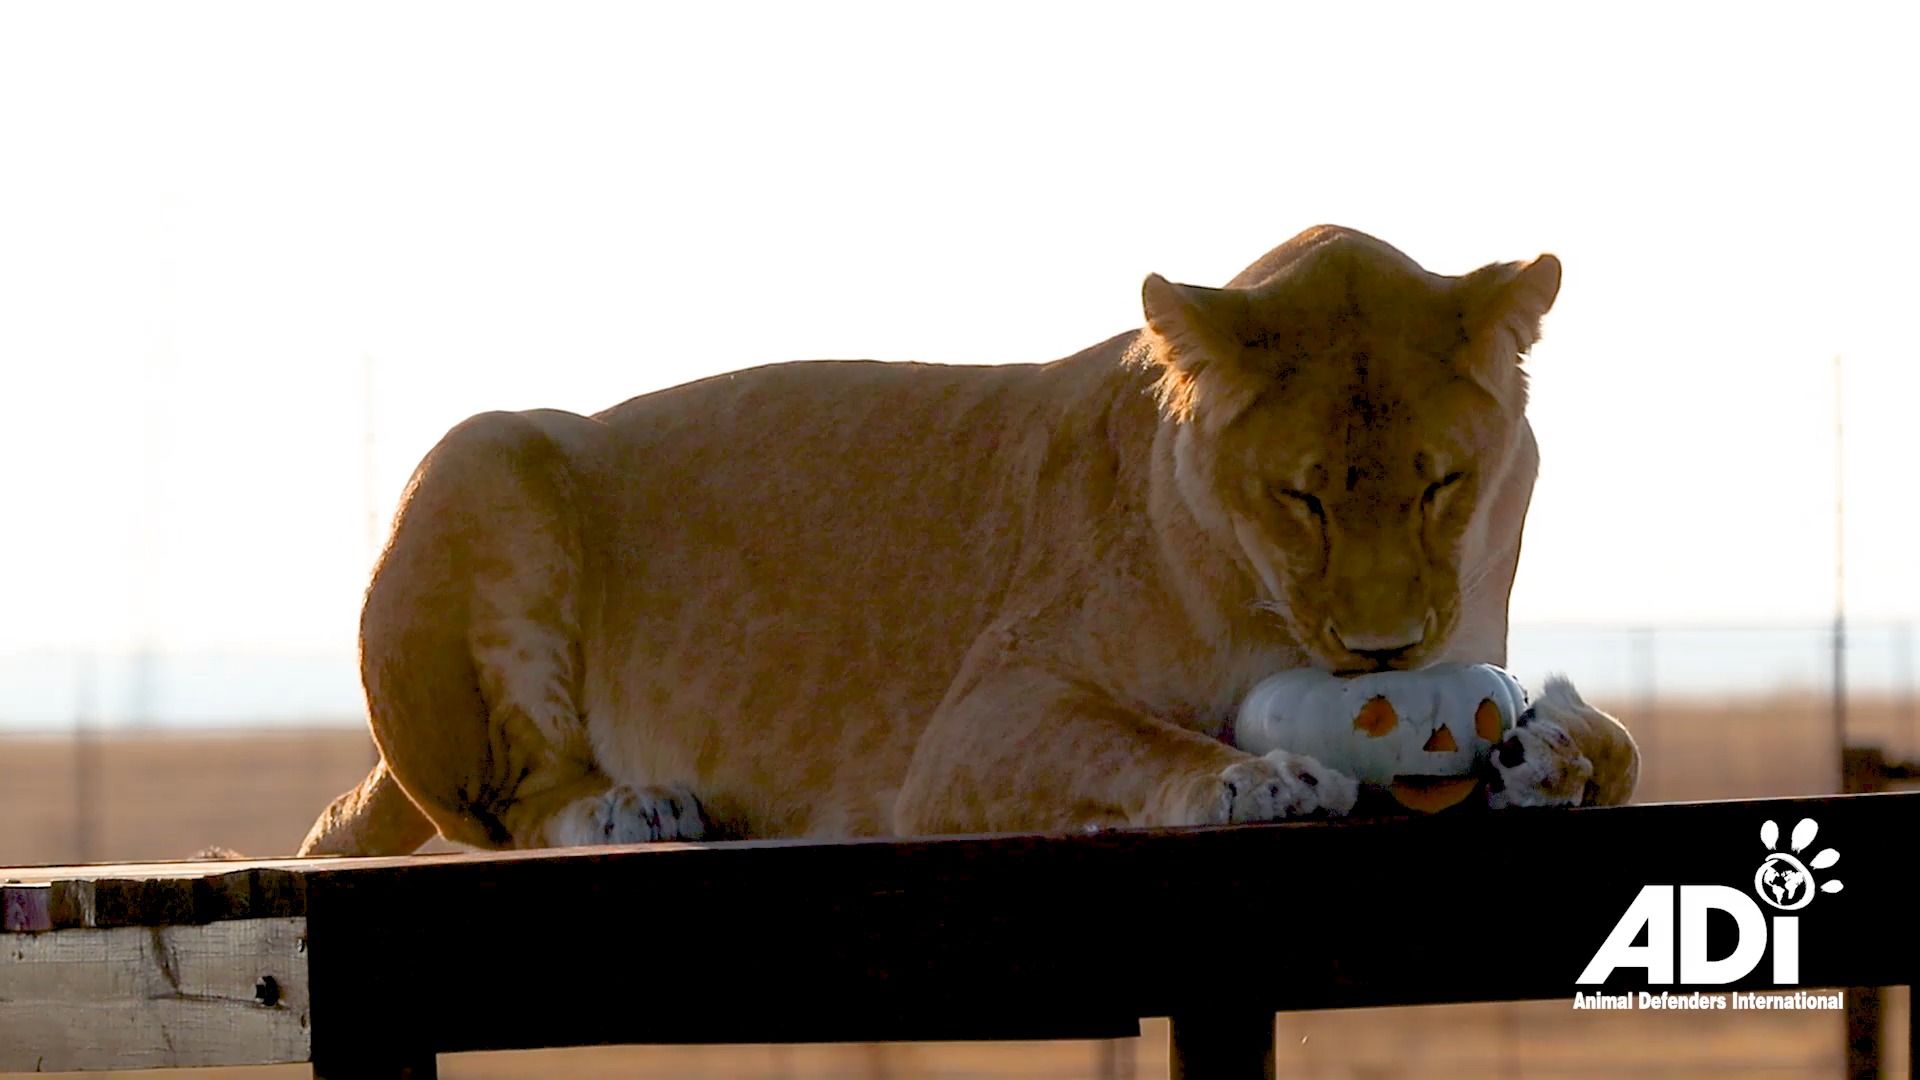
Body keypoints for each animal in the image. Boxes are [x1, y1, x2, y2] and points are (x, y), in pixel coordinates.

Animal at [298, 224, 1639, 858]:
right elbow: (1127, 737)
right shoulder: (976, 726)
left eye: (1443, 485)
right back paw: (634, 806)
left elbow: (1616, 747)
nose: (1380, 653)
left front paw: (1557, 754)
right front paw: (1251, 776)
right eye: (1300, 498)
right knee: (508, 807)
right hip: (481, 451)